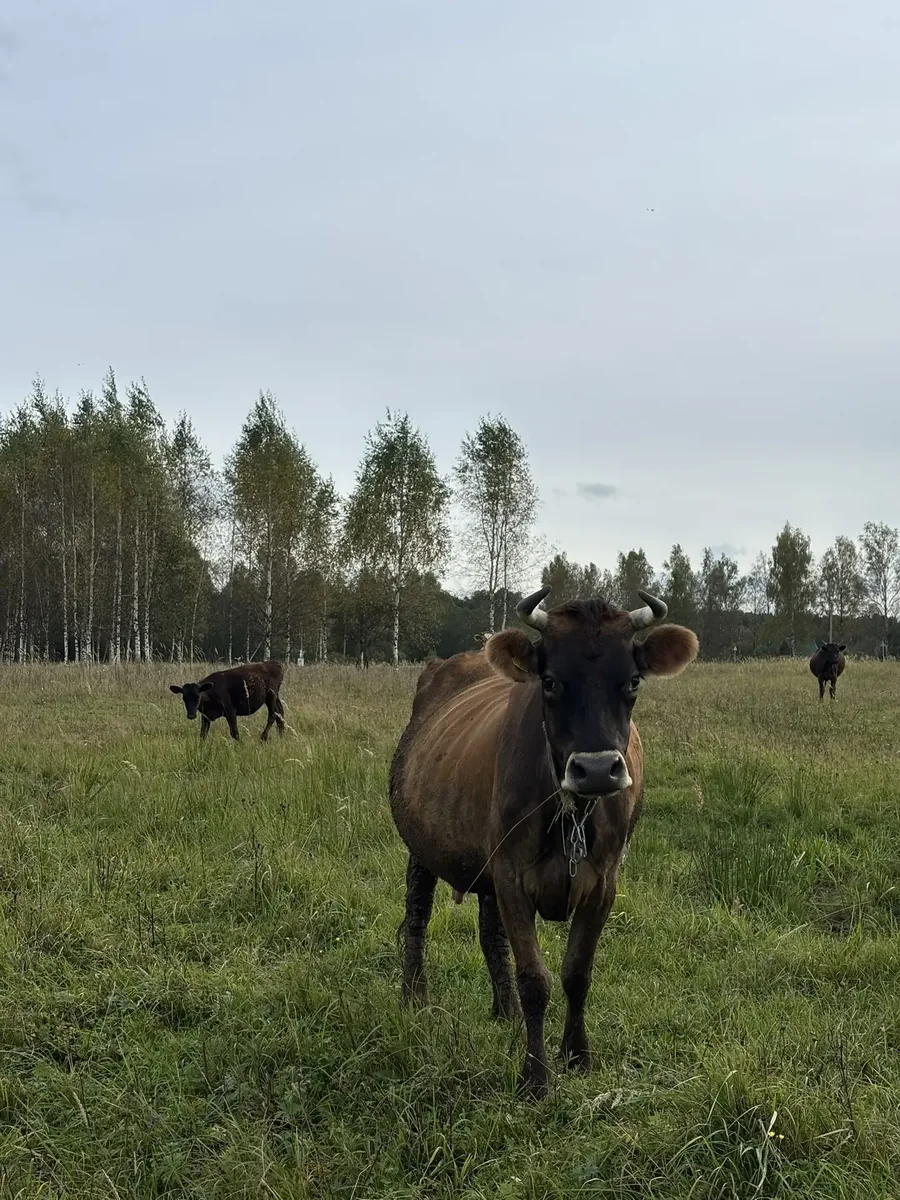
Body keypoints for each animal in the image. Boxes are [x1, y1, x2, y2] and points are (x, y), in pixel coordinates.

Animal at [389, 587, 699, 1097]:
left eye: (633, 680)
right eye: (550, 681)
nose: (597, 769)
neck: (571, 811)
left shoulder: (603, 882)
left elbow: (577, 973)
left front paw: (577, 1055)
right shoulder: (513, 877)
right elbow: (535, 978)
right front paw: (534, 1076)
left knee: (491, 934)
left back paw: (505, 1011)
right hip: (420, 843)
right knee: (417, 914)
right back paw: (415, 995)